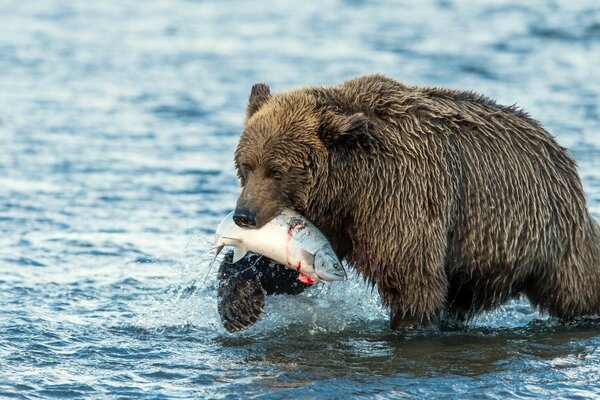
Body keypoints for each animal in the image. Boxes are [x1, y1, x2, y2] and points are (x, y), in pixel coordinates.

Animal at [219, 73, 600, 330]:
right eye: (247, 165)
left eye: (277, 171)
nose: (244, 215)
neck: (349, 186)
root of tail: (561, 154)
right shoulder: (335, 222)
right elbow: (287, 267)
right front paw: (239, 304)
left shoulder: (402, 198)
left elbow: (412, 282)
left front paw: (408, 326)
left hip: (541, 235)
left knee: (578, 287)